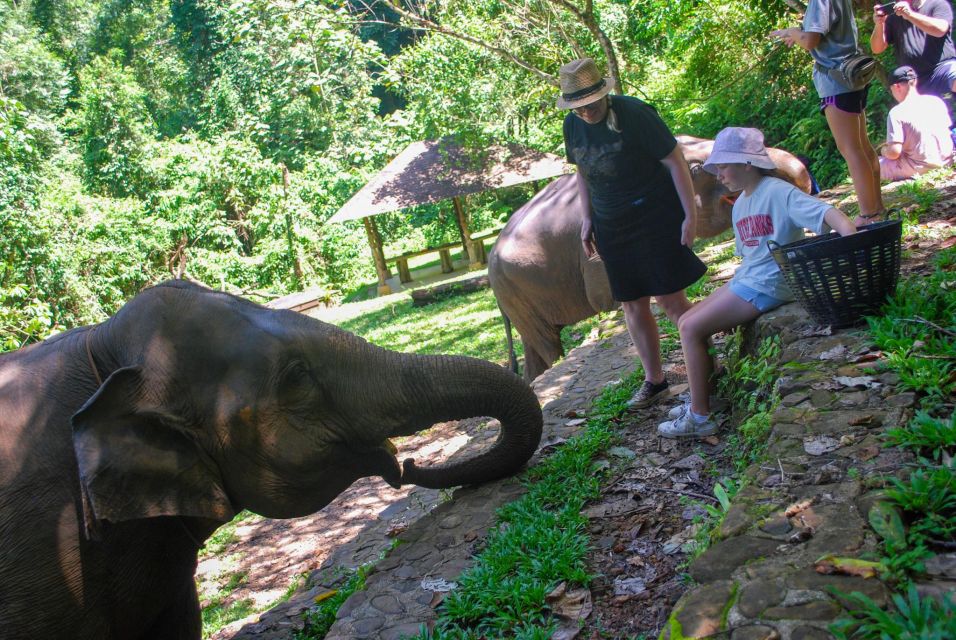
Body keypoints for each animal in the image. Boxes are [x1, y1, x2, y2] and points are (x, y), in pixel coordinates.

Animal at [492, 134, 816, 380]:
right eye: (697, 169)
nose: (804, 176)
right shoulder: (598, 254)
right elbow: (608, 298)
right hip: (514, 292)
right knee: (547, 344)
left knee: (536, 349)